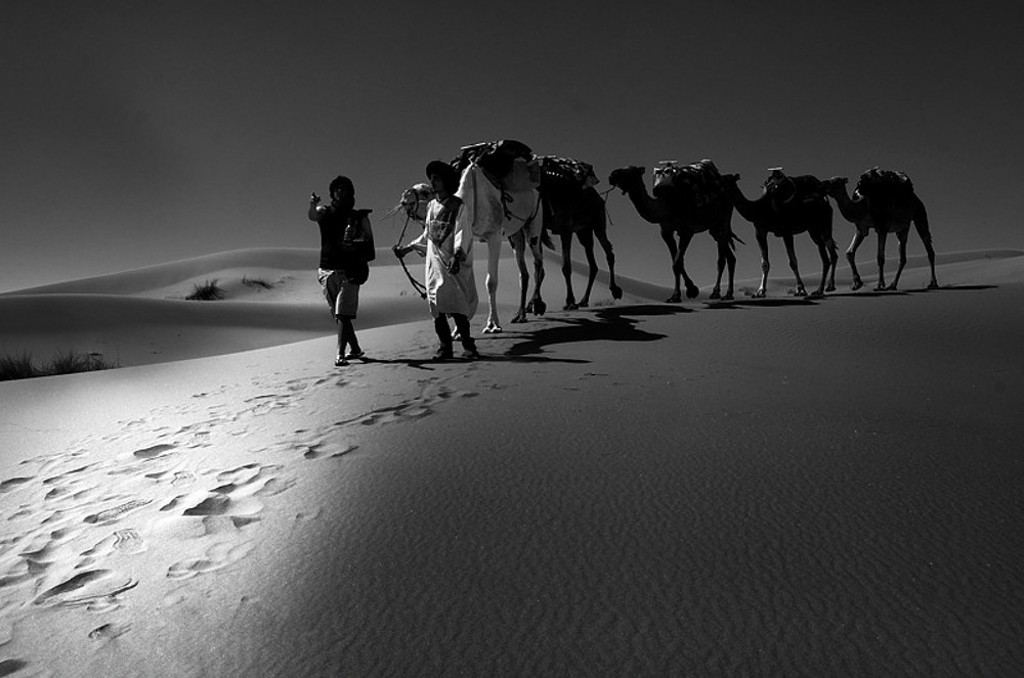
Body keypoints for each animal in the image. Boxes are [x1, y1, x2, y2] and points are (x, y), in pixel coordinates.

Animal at [540, 156, 618, 307]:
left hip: (598, 222)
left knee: (608, 251)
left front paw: (570, 300)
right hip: (584, 232)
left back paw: (615, 290)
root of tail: (600, 197)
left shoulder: (565, 229)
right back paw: (584, 300)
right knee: (593, 264)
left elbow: (566, 266)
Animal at [602, 160, 741, 301]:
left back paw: (722, 293)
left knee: (723, 258)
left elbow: (677, 262)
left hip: (724, 216)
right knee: (729, 256)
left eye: (631, 171)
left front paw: (679, 295)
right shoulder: (666, 231)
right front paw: (687, 290)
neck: (666, 205)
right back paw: (722, 293)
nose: (612, 175)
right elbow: (676, 261)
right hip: (713, 227)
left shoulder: (687, 231)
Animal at [724, 168, 835, 297]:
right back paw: (819, 290)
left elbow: (793, 262)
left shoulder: (786, 231)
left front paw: (801, 289)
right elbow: (765, 263)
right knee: (824, 256)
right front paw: (760, 291)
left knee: (830, 252)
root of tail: (825, 202)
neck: (759, 208)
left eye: (726, 180)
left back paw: (827, 288)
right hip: (813, 230)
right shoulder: (760, 232)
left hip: (824, 225)